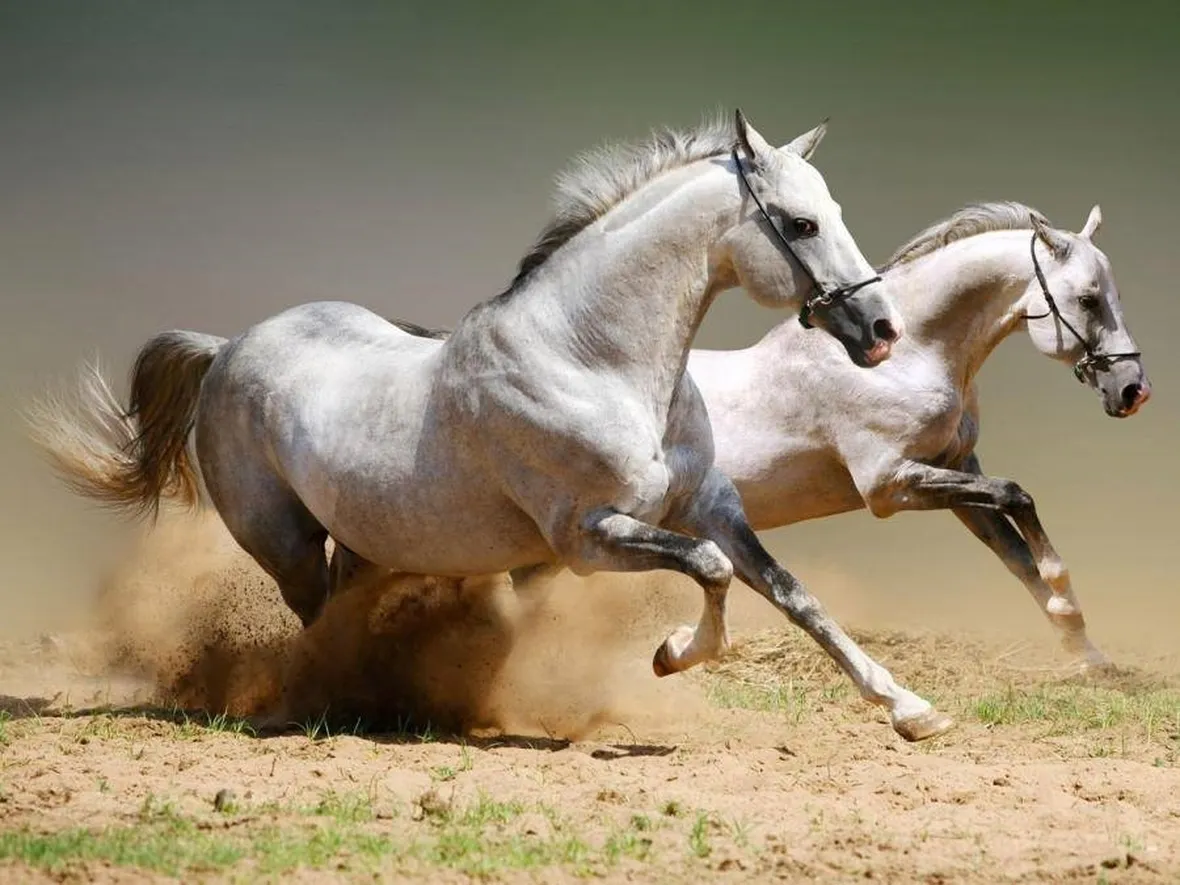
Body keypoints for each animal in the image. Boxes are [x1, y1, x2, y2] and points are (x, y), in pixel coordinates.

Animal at [29, 111, 959, 742]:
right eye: (800, 223)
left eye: (831, 209)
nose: (881, 329)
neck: (593, 359)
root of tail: (227, 348)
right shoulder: (588, 537)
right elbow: (712, 571)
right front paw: (670, 653)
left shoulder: (709, 505)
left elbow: (792, 593)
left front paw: (911, 708)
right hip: (284, 542)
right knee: (316, 622)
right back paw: (331, 702)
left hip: (365, 540)